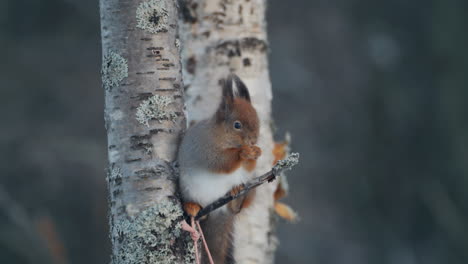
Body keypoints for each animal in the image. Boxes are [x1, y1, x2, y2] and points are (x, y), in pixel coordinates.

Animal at [178, 73, 262, 262]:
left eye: (257, 120)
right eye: (237, 125)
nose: (253, 140)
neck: (225, 138)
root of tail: (218, 211)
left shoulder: (246, 170)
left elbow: (247, 167)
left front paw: (256, 152)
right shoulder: (205, 148)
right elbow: (221, 163)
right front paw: (243, 152)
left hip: (249, 190)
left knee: (236, 209)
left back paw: (236, 193)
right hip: (188, 189)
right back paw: (193, 207)